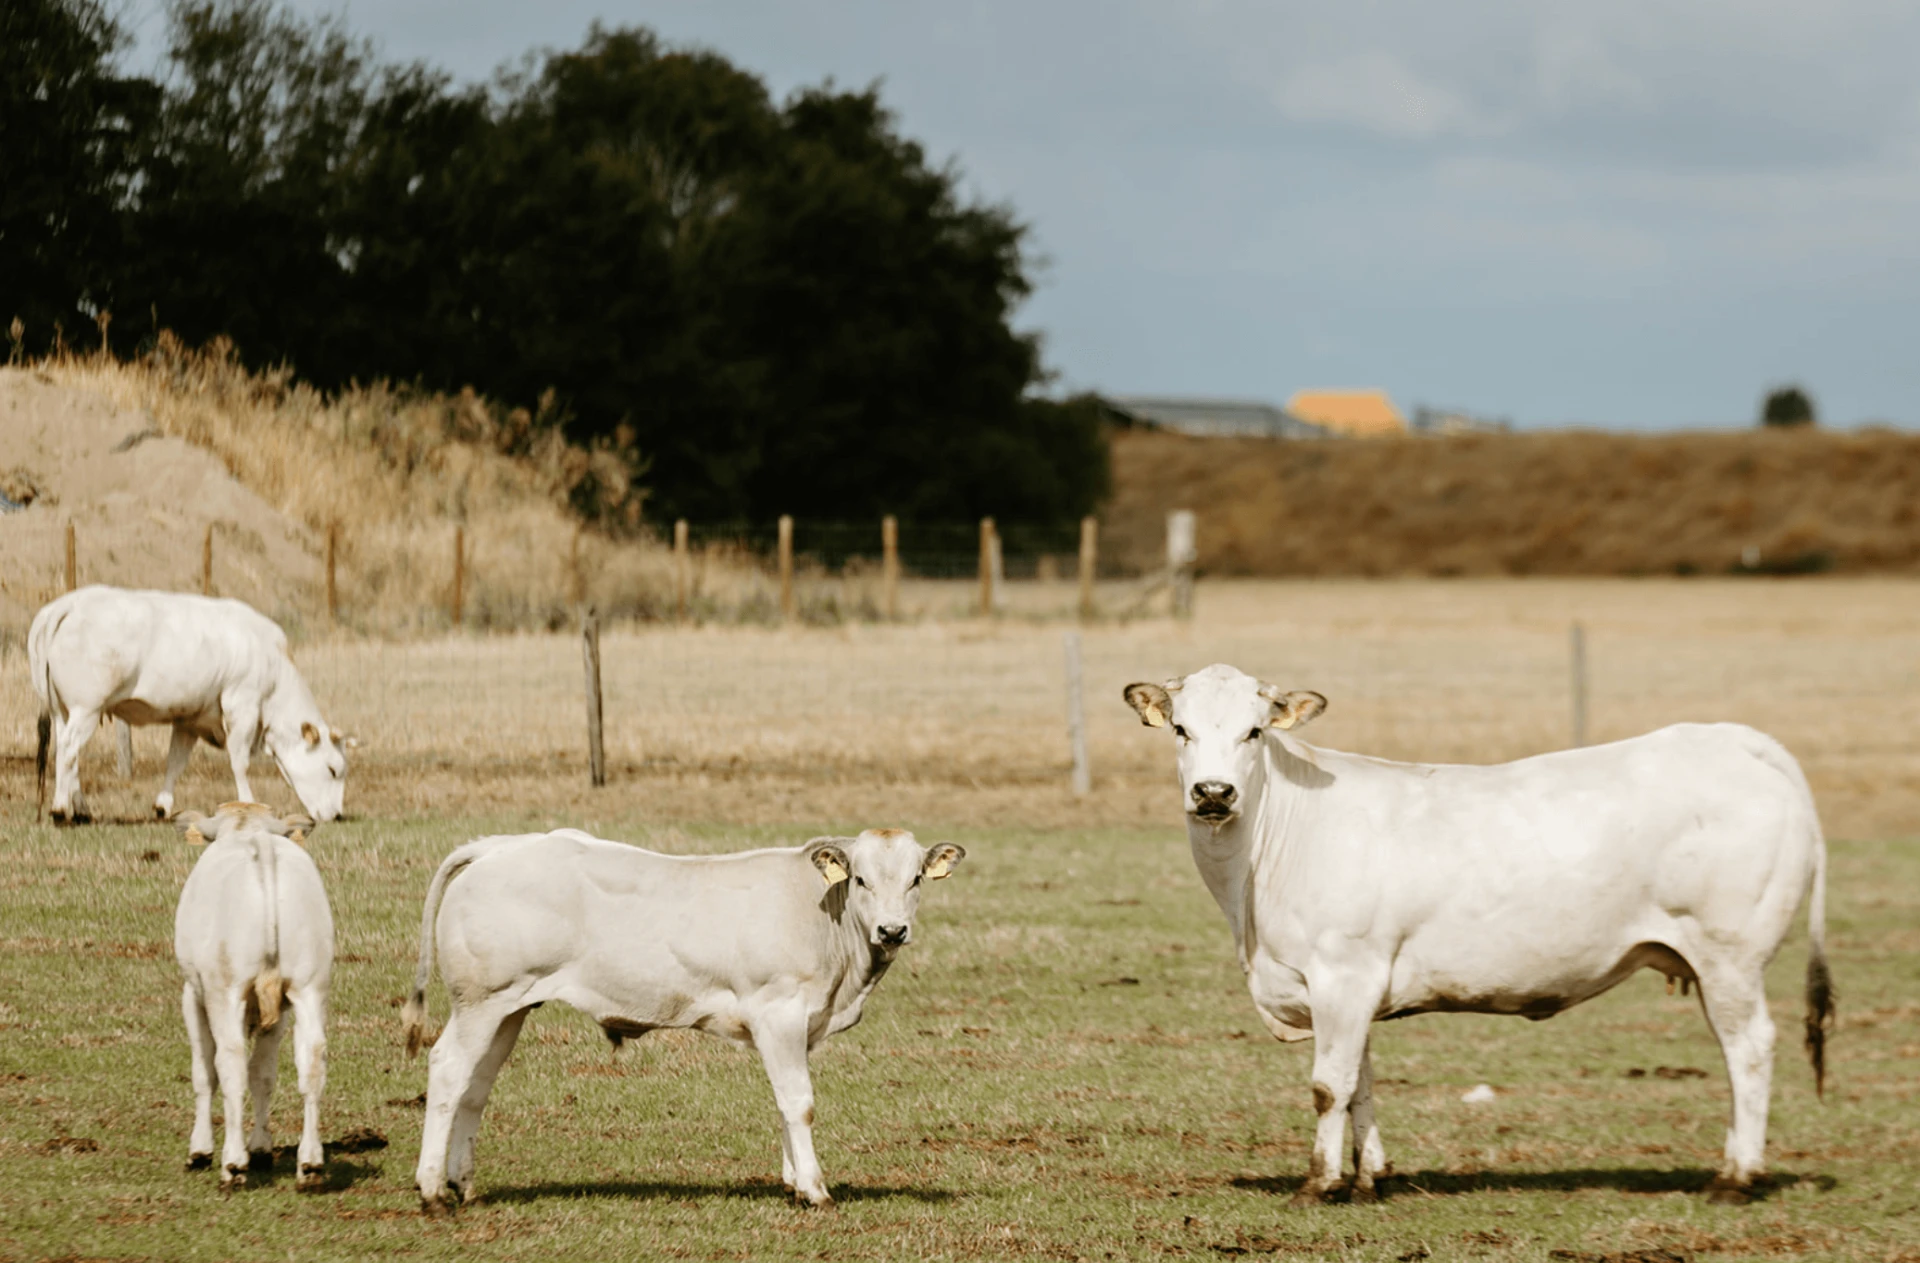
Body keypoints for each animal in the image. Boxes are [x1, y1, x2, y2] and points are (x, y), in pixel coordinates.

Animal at [30, 586, 348, 824]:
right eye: (333, 769)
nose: (336, 815)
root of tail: (69, 603)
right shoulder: (241, 706)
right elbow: (240, 762)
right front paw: (248, 802)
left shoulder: (189, 721)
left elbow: (176, 761)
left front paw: (162, 806)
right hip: (86, 709)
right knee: (69, 749)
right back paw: (60, 810)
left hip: (64, 710)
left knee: (67, 754)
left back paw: (80, 809)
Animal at [172, 802, 333, 1190]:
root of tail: (261, 842)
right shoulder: (283, 1009)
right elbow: (264, 1074)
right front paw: (261, 1147)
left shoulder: (192, 995)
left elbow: (205, 1073)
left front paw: (200, 1150)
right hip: (310, 988)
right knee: (312, 1063)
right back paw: (310, 1163)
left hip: (224, 992)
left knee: (229, 1064)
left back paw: (232, 1163)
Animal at [401, 827, 965, 1212]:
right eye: (862, 880)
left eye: (915, 879)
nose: (892, 930)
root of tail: (500, 845)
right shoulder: (779, 1014)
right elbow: (799, 1103)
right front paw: (814, 1188)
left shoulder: (798, 1027)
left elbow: (785, 1104)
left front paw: (792, 1180)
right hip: (481, 1002)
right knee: (448, 1069)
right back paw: (432, 1190)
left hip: (508, 1007)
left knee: (476, 1086)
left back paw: (463, 1183)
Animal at [1124, 662, 1832, 1206]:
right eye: (1182, 729)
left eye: (1254, 730)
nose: (1214, 792)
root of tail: (1735, 741)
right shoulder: (1353, 986)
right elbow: (1361, 1082)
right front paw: (1370, 1179)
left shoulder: (1342, 973)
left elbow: (1330, 1086)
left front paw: (1319, 1185)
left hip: (1730, 957)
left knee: (1750, 1051)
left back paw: (1737, 1179)